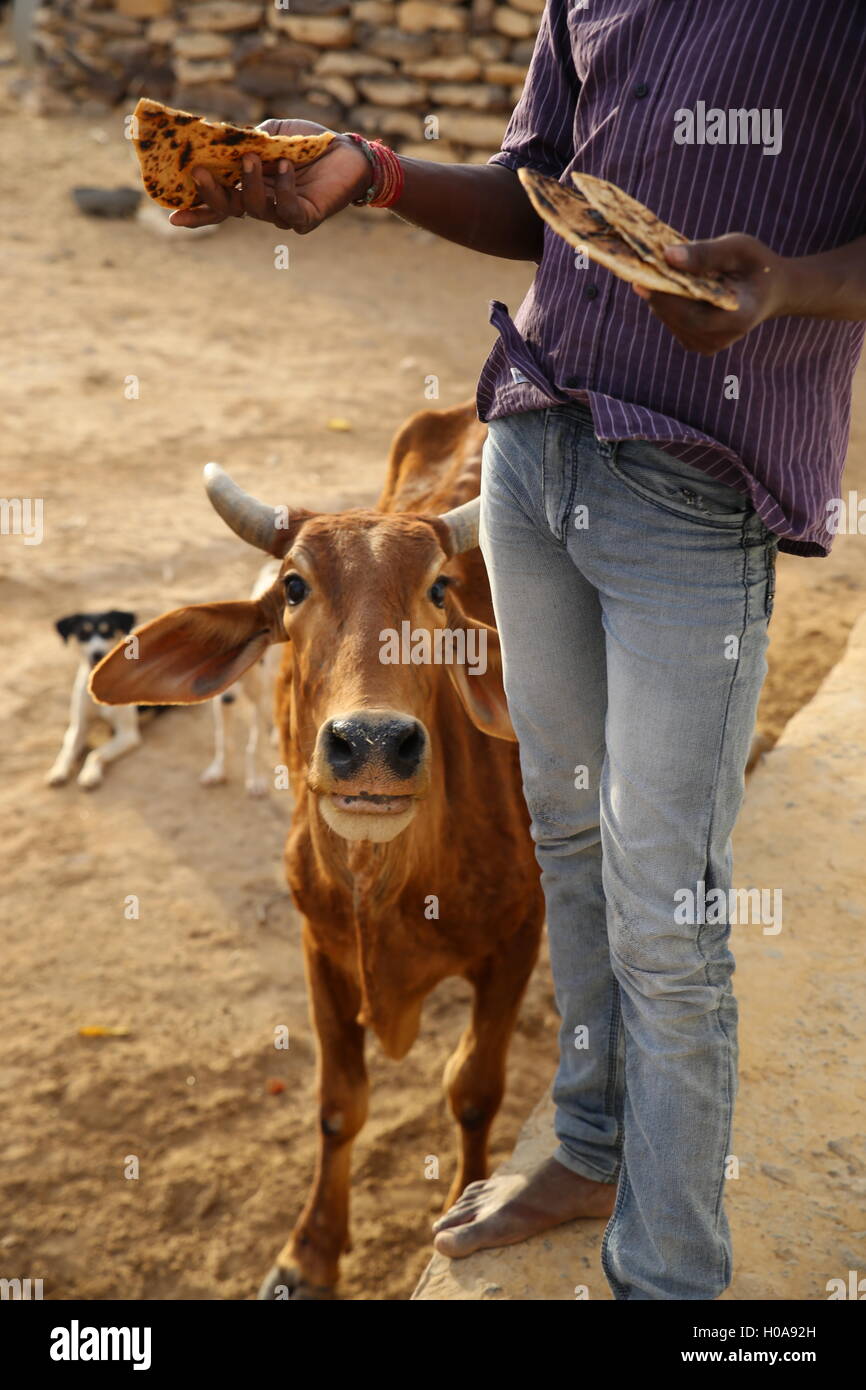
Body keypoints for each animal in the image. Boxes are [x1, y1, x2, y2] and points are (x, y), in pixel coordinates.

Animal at [47, 611, 143, 795]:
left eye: (108, 631)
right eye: (83, 633)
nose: (97, 653)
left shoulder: (128, 734)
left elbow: (96, 753)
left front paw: (89, 774)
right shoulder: (78, 726)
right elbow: (67, 750)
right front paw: (58, 770)